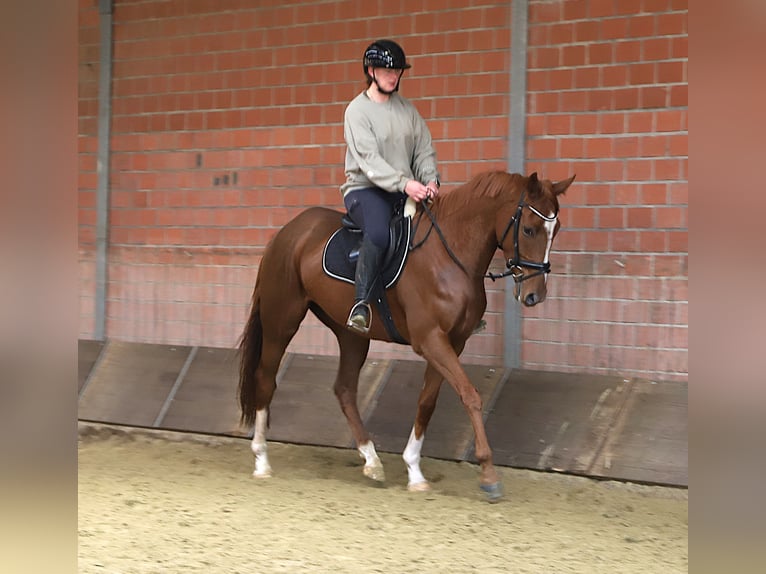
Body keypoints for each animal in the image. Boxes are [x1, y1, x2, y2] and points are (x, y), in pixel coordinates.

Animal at [238, 170, 575, 502]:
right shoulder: (430, 340)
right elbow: (470, 395)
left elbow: (427, 401)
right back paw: (262, 460)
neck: (448, 255)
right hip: (281, 321)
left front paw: (414, 471)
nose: (534, 296)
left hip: (351, 335)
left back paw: (372, 460)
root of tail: (289, 231)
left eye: (556, 229)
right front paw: (489, 476)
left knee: (344, 389)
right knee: (265, 379)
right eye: (529, 229)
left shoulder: (453, 342)